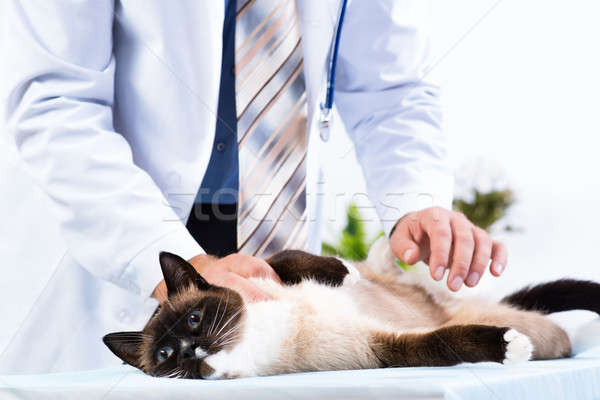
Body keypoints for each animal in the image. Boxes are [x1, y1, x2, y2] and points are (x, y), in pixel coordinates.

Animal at [104, 239, 600, 380]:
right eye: (165, 357)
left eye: (193, 319)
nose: (192, 351)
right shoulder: (381, 348)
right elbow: (440, 343)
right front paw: (508, 348)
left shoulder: (263, 273)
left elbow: (285, 258)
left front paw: (343, 272)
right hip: (533, 330)